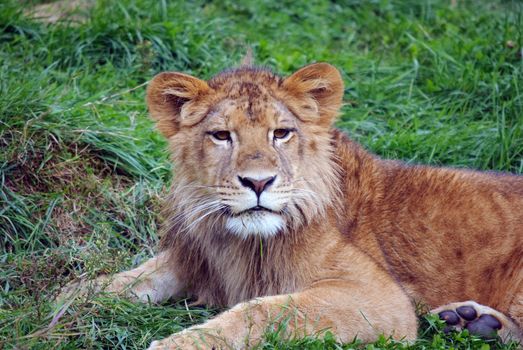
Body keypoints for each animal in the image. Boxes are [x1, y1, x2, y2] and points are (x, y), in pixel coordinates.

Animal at [62, 60, 523, 348]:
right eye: (221, 136)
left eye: (281, 133)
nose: (258, 182)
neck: (243, 243)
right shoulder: (201, 255)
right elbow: (143, 275)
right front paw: (75, 295)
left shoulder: (381, 299)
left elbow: (265, 311)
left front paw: (186, 343)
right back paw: (470, 321)